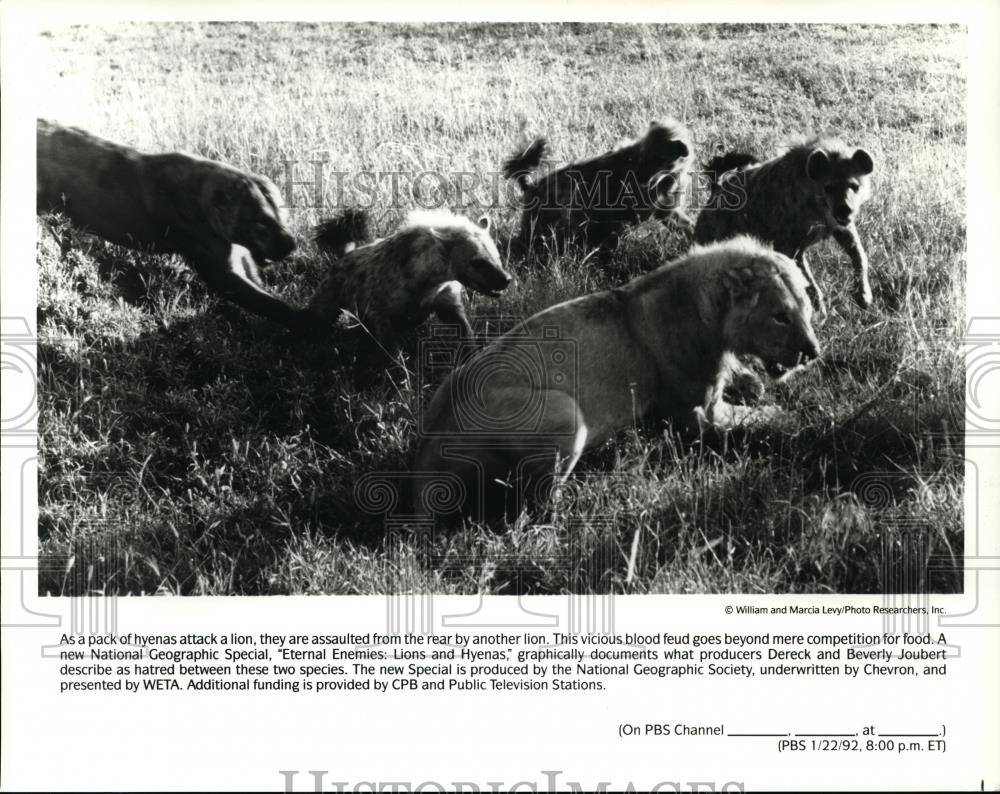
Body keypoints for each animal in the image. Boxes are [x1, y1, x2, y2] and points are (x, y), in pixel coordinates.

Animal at [36, 118, 304, 329]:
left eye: (282, 213)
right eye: (261, 223)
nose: (291, 244)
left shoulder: (239, 260)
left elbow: (261, 289)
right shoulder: (219, 272)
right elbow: (270, 303)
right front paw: (306, 323)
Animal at [307, 208, 513, 344]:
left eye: (497, 255)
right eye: (477, 262)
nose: (506, 279)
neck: (429, 282)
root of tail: (344, 256)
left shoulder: (447, 298)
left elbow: (464, 328)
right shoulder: (379, 312)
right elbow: (392, 351)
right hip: (327, 298)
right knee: (317, 317)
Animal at [413, 235, 820, 522]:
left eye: (807, 308)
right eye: (780, 316)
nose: (813, 352)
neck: (710, 314)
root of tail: (427, 453)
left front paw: (753, 383)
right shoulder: (695, 416)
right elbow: (760, 420)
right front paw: (797, 421)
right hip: (566, 412)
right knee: (534, 507)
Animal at [503, 119, 694, 257]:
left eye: (658, 158)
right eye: (644, 153)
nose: (642, 178)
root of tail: (532, 186)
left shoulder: (664, 207)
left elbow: (682, 222)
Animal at [693, 137, 875, 317]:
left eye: (855, 186)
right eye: (828, 188)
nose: (844, 209)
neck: (816, 209)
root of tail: (715, 191)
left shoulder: (839, 225)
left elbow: (858, 253)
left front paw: (863, 295)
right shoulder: (789, 244)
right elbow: (806, 278)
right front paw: (819, 310)